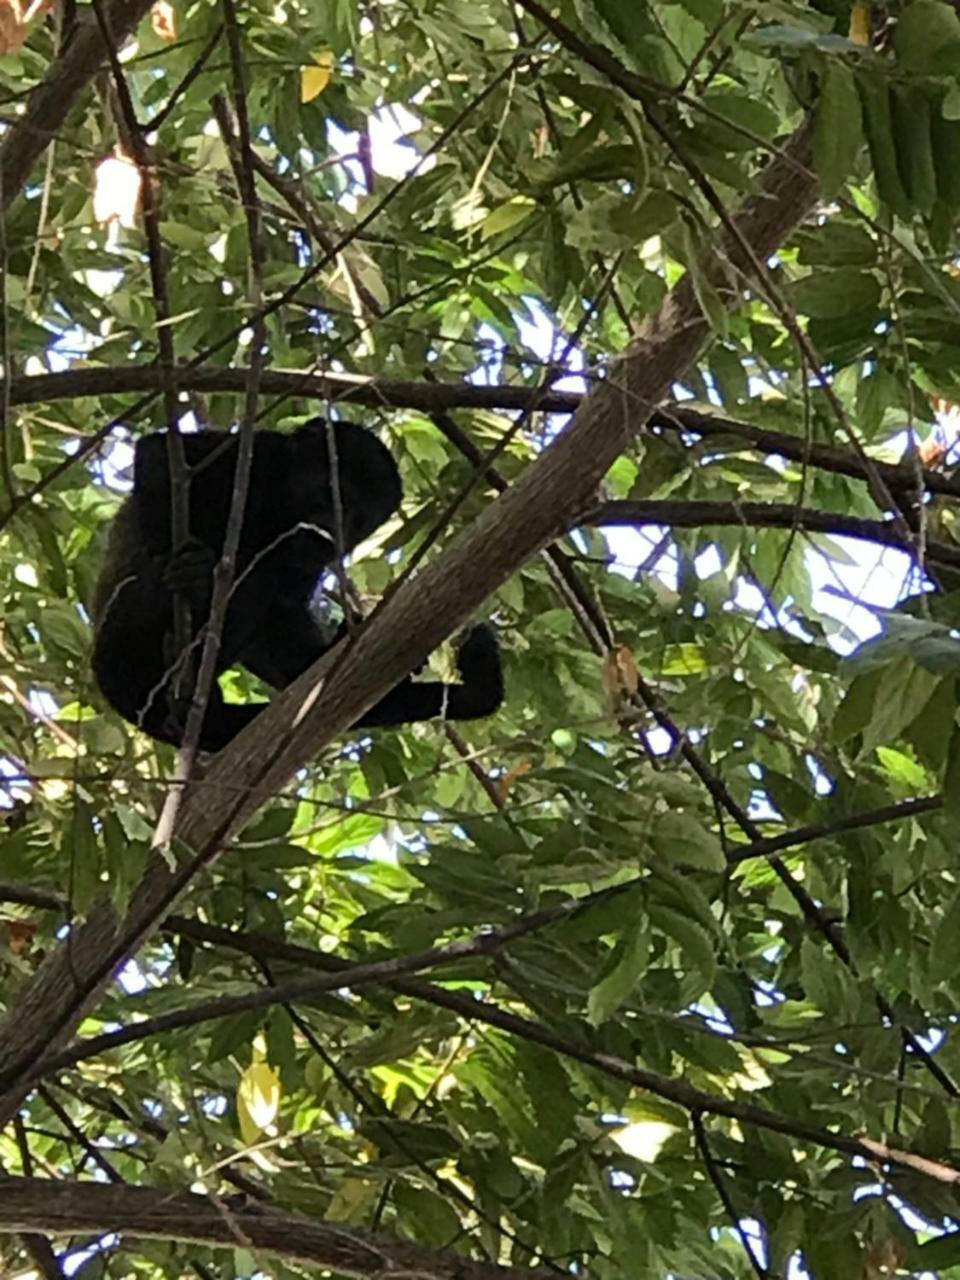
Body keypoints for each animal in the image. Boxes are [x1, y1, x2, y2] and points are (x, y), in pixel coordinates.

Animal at [92, 419, 504, 747]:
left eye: (356, 519)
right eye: (329, 494)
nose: (329, 531)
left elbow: (283, 616)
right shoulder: (256, 452)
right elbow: (159, 455)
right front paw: (186, 574)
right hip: (122, 626)